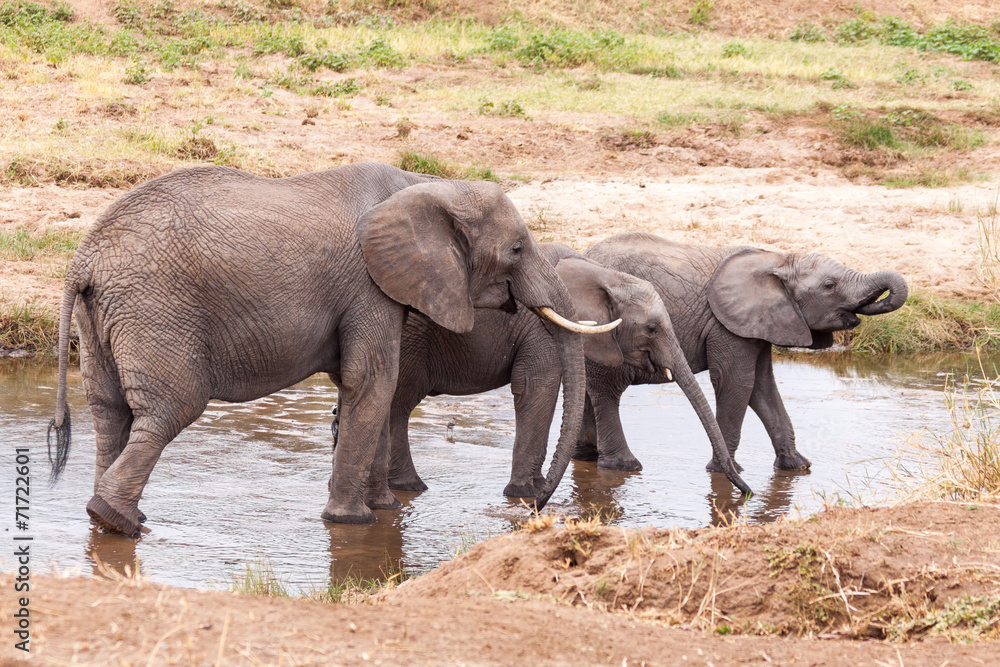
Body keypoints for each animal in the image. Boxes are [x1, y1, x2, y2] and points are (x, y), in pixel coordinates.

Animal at [47, 162, 614, 537]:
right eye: (516, 249)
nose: (538, 501)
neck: (427, 186)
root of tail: (84, 259)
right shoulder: (367, 285)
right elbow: (375, 382)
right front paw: (353, 522)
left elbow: (369, 387)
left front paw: (385, 510)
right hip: (155, 310)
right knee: (169, 411)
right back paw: (118, 522)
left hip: (103, 319)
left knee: (111, 412)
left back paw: (111, 514)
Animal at [335, 243, 751, 501]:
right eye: (651, 329)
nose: (747, 491)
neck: (601, 274)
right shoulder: (541, 326)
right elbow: (538, 386)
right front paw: (527, 494)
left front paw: (533, 489)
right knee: (399, 403)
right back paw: (410, 488)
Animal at [576, 232, 908, 475]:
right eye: (829, 286)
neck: (779, 260)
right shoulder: (727, 326)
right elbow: (737, 382)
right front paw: (725, 471)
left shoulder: (760, 323)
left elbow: (763, 386)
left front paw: (798, 467)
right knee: (607, 389)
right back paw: (622, 466)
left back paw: (585, 457)